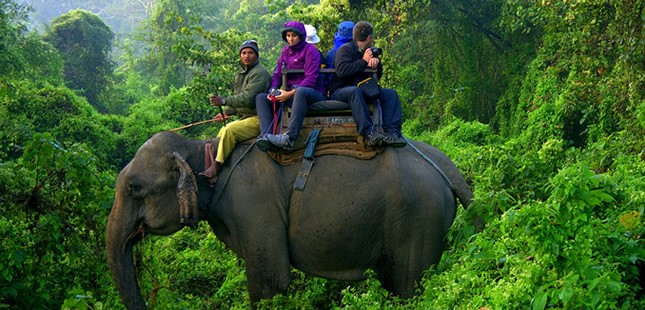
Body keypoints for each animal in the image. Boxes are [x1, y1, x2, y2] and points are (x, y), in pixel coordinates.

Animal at [105, 131, 472, 308]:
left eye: (135, 188)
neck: (204, 148)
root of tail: (446, 164)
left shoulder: (253, 204)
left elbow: (271, 281)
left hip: (418, 219)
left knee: (410, 285)